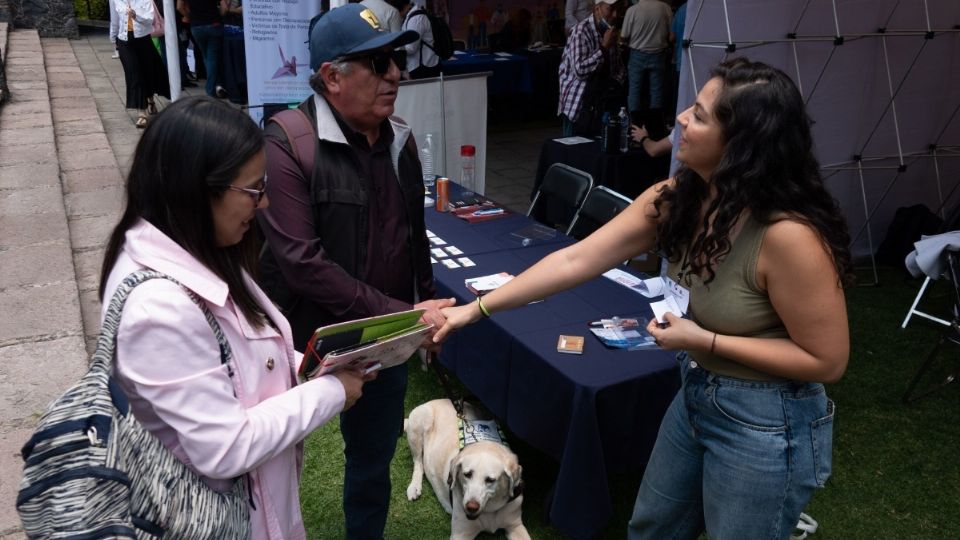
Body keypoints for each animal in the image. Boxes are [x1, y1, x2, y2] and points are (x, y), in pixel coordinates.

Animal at [402, 396, 528, 540]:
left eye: (490, 480)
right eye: (467, 474)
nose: (471, 507)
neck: (490, 511)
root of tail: (436, 400)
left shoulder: (515, 525)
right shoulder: (460, 534)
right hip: (418, 424)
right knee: (418, 462)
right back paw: (414, 487)